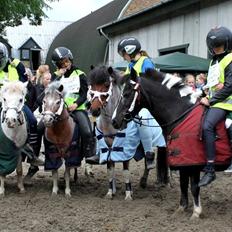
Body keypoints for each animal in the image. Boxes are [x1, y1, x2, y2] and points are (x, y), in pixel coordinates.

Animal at [87, 65, 167, 199]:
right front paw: (110, 192)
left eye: (106, 84)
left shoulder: (124, 147)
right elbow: (110, 168)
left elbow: (125, 170)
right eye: (91, 85)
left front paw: (128, 194)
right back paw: (144, 182)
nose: (94, 110)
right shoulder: (108, 146)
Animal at [110, 68, 232, 219]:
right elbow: (183, 184)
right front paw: (182, 208)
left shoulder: (193, 163)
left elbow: (194, 187)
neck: (182, 115)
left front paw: (196, 212)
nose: (114, 121)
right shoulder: (183, 162)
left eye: (126, 94)